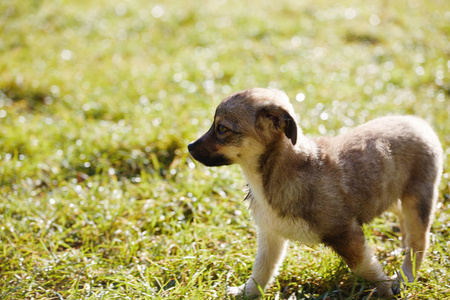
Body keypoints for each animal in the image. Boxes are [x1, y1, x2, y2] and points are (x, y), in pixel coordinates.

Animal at [187, 87, 442, 298]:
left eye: (222, 129)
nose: (189, 147)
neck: (268, 175)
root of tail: (418, 122)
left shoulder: (346, 234)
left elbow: (368, 269)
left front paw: (387, 290)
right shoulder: (270, 234)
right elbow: (261, 270)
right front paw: (245, 293)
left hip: (418, 199)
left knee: (419, 242)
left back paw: (406, 276)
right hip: (393, 194)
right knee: (404, 223)